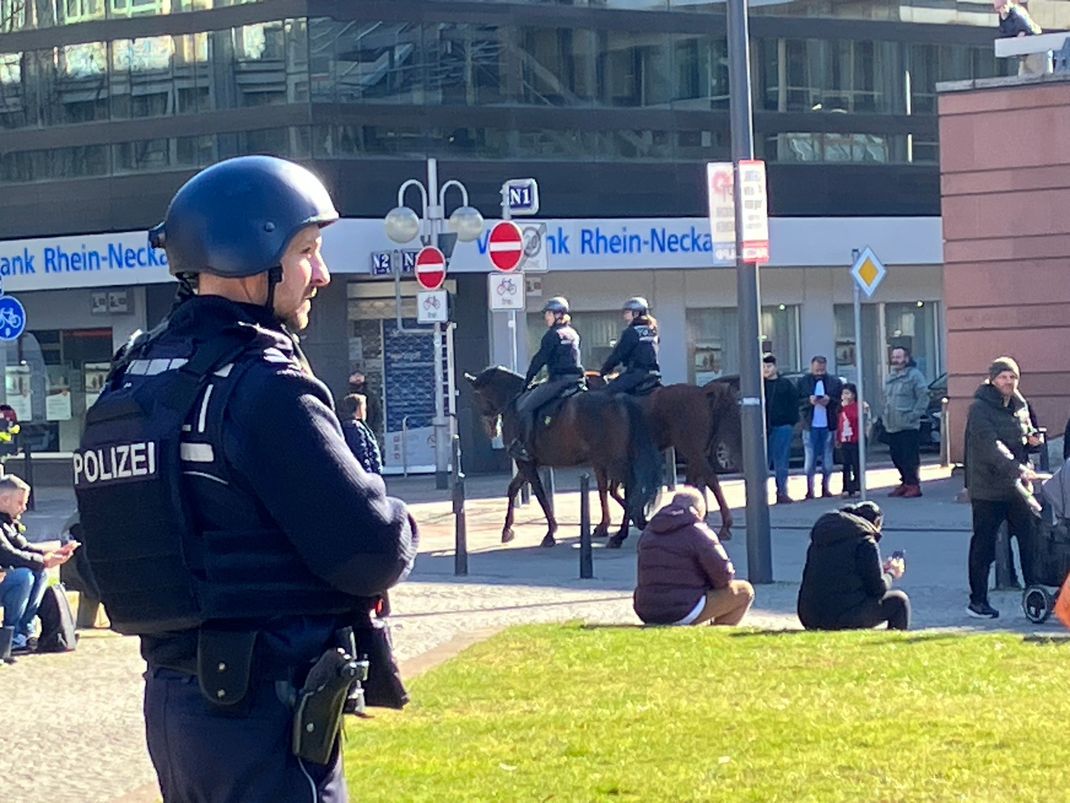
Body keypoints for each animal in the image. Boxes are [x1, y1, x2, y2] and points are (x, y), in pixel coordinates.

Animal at [466, 368, 663, 552]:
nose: (491, 430)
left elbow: (541, 496)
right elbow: (513, 489)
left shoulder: (526, 464)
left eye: (477, 397)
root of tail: (621, 399)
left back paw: (621, 533)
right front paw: (507, 530)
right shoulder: (527, 464)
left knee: (629, 489)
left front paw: (550, 533)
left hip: (615, 460)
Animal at [586, 372, 744, 537]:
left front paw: (606, 525)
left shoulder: (603, 461)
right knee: (694, 481)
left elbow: (605, 491)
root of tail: (702, 392)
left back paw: (724, 526)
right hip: (695, 452)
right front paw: (638, 518)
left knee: (711, 480)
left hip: (692, 450)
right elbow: (614, 491)